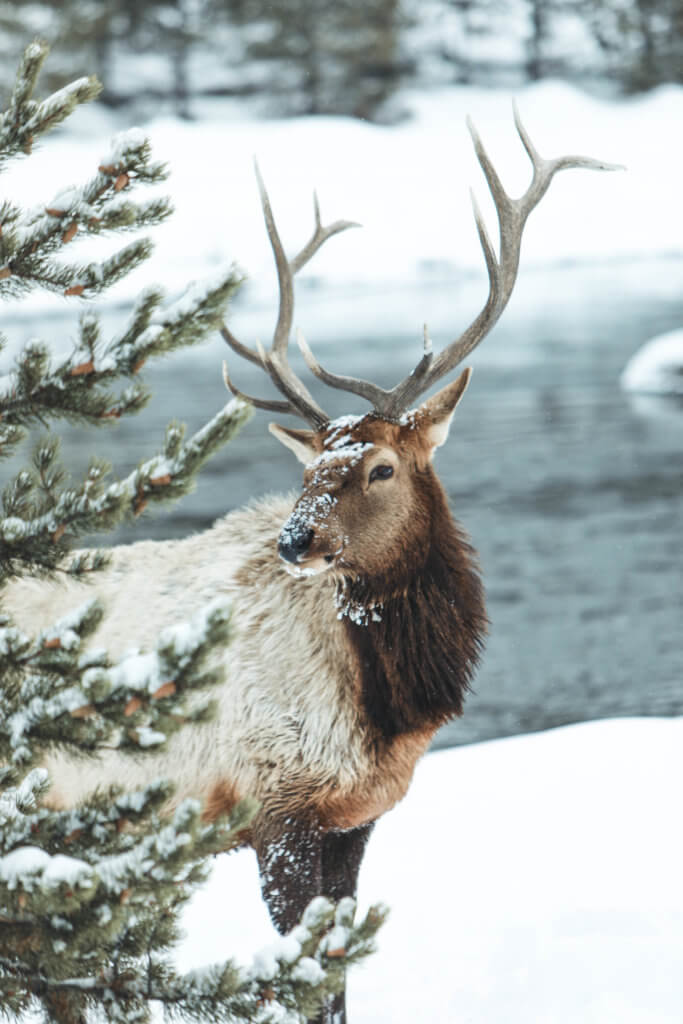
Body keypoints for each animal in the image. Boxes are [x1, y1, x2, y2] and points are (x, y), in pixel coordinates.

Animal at [7, 107, 614, 1024]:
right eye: (305, 474)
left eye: (380, 468)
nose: (294, 543)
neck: (388, 706)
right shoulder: (274, 804)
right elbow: (298, 979)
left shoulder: (351, 820)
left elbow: (334, 973)